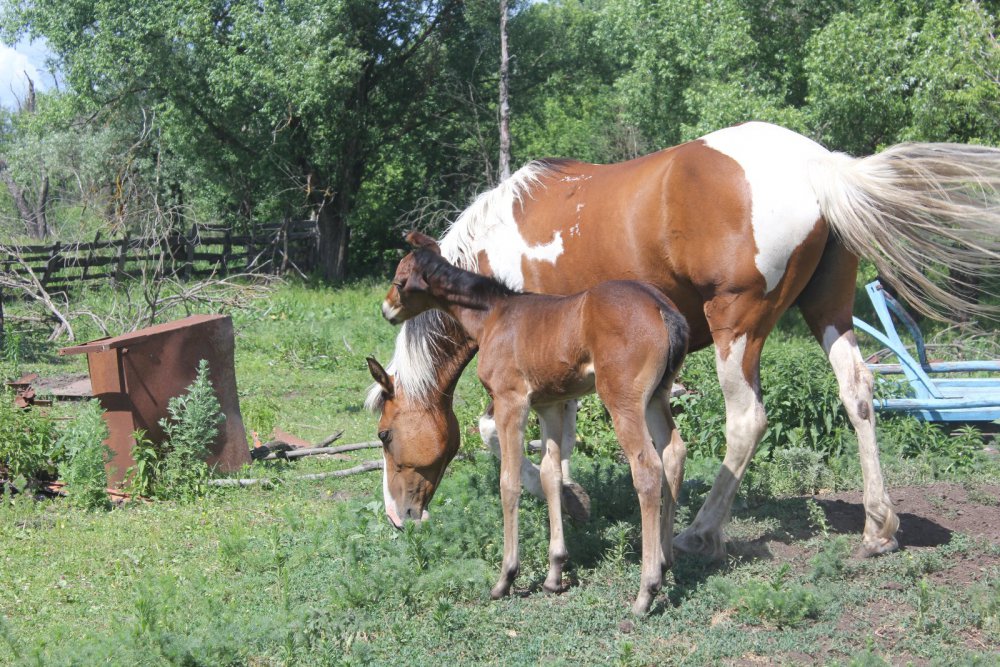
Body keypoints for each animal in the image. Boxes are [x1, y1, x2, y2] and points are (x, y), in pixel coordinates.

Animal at [366, 120, 1000, 560]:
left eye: (385, 435)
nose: (397, 518)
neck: (490, 257)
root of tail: (818, 165)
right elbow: (558, 442)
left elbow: (508, 436)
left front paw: (567, 498)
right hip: (828, 310)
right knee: (859, 393)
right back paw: (878, 528)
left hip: (736, 328)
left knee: (746, 421)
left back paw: (701, 533)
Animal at [372, 231, 692, 616]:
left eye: (399, 280)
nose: (386, 309)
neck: (493, 316)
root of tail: (661, 308)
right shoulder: (549, 405)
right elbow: (550, 474)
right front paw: (554, 573)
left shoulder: (511, 401)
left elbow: (509, 482)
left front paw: (506, 577)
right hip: (658, 395)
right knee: (674, 452)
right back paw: (666, 560)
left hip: (623, 399)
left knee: (646, 468)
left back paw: (647, 589)